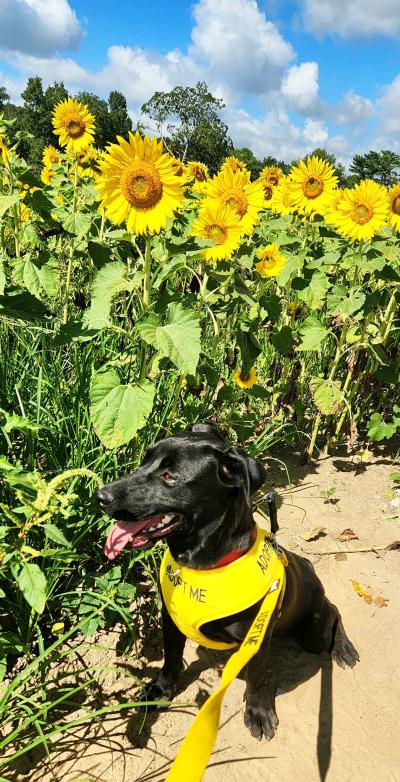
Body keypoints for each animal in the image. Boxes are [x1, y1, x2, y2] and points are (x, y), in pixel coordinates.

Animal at [97, 426, 360, 740]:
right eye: (144, 460)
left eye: (170, 476)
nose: (100, 495)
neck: (202, 566)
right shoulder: (170, 621)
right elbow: (171, 658)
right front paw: (162, 689)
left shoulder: (256, 640)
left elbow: (257, 679)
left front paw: (258, 713)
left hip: (314, 633)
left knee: (333, 610)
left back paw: (343, 648)